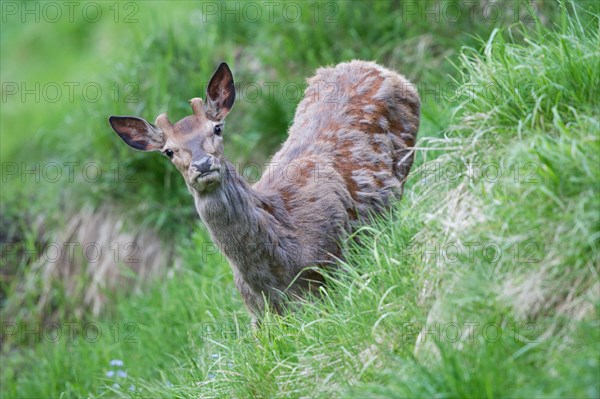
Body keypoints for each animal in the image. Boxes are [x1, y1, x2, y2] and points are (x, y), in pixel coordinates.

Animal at [110, 61, 422, 324]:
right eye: (169, 151)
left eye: (217, 128)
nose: (203, 164)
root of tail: (375, 66)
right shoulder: (258, 316)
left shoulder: (337, 264)